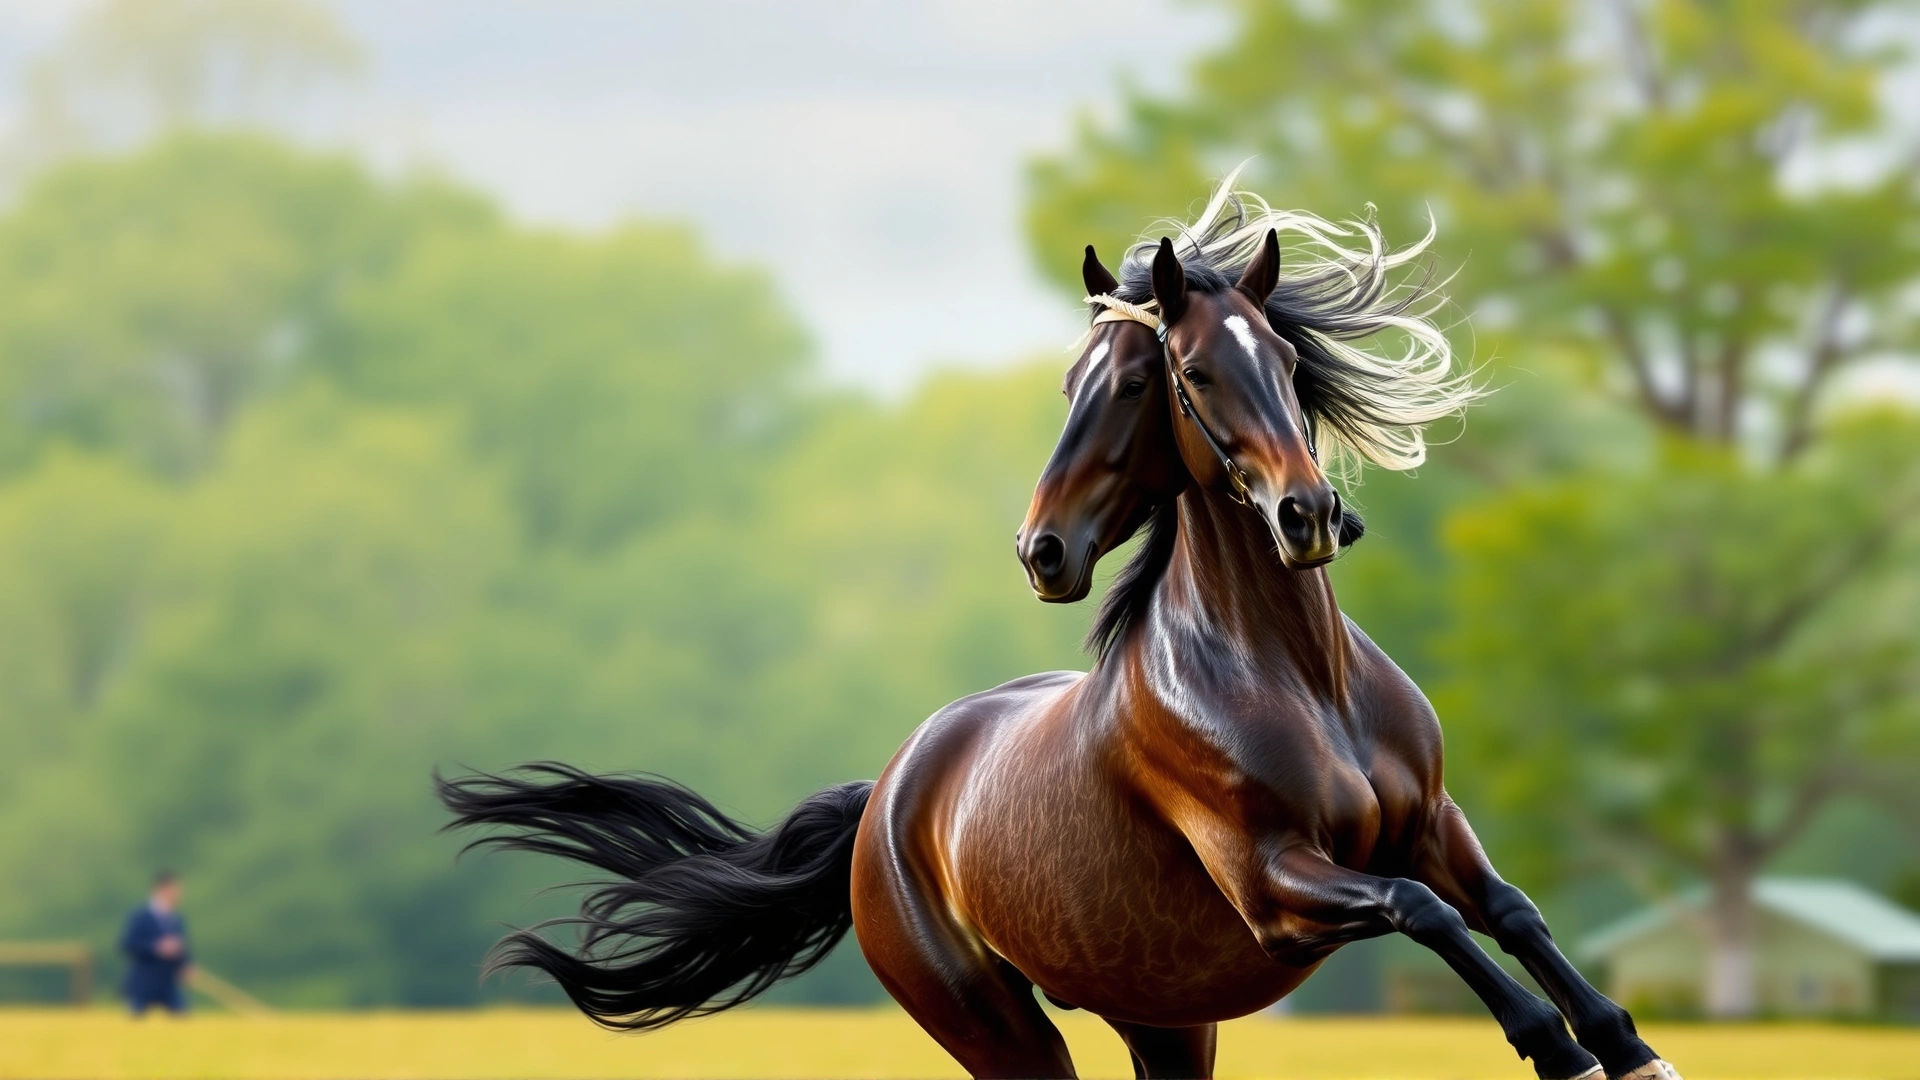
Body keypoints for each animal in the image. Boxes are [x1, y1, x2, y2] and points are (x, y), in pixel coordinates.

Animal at [438, 184, 1680, 1080]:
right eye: (1177, 374)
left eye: (1283, 363)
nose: (1307, 516)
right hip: (1002, 1032)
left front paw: (1627, 1047)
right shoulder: (1278, 886)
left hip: (1171, 1024)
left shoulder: (1428, 824)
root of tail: (886, 797)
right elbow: (1426, 914)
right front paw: (1560, 1052)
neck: (1299, 682)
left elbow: (1507, 910)